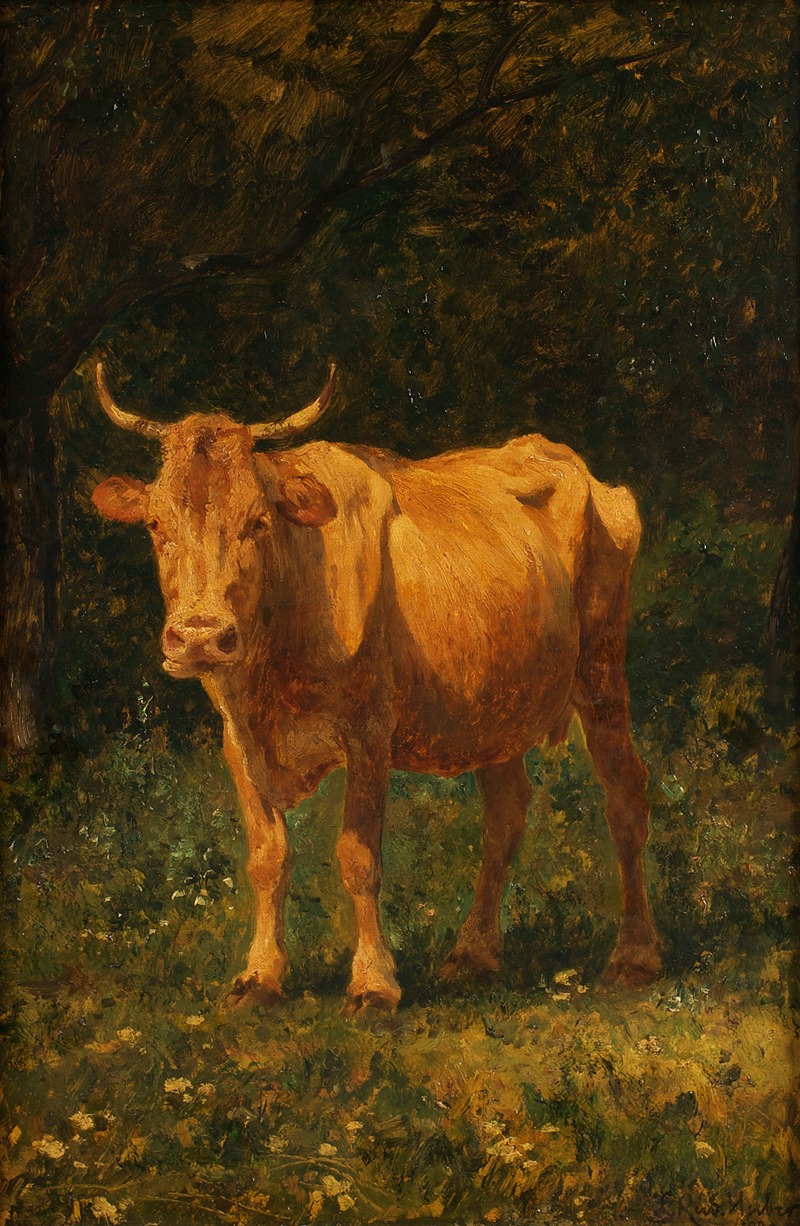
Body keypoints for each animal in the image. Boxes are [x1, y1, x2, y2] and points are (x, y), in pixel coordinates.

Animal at [91, 362, 661, 1012]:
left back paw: (634, 957)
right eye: (155, 523)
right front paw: (260, 975)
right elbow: (267, 857)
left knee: (624, 795)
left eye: (258, 521)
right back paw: (473, 954)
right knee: (506, 815)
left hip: (602, 671)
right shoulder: (237, 739)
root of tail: (568, 459)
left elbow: (358, 856)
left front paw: (374, 983)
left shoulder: (367, 733)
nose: (200, 637)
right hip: (497, 707)